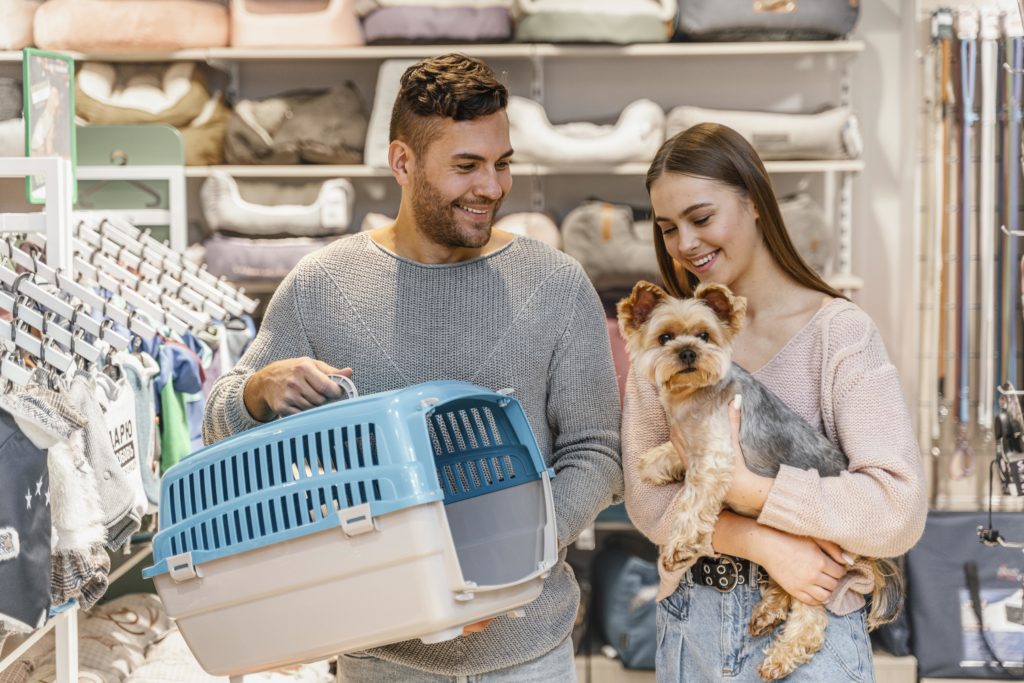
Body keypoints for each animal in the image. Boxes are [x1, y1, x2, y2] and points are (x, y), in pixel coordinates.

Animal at [614, 280, 897, 679]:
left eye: (704, 335)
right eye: (664, 336)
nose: (687, 352)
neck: (692, 395)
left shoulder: (715, 457)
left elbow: (692, 502)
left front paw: (679, 546)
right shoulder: (690, 442)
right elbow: (668, 456)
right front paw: (654, 463)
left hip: (813, 549)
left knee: (811, 616)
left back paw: (781, 654)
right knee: (785, 586)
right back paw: (768, 611)